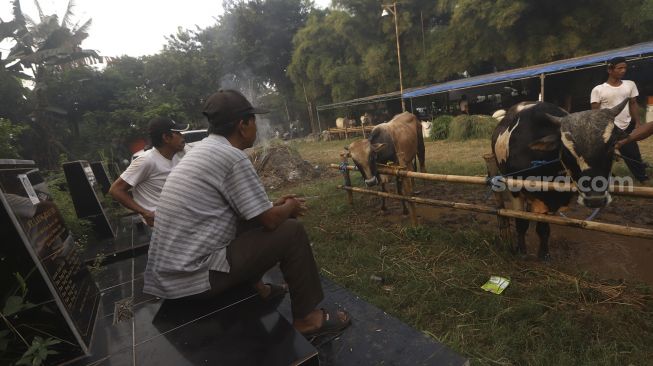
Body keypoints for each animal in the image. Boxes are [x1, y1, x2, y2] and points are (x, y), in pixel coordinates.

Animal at [488, 100, 628, 260]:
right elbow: (521, 222)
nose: (595, 200)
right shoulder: (515, 190)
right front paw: (521, 250)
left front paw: (544, 253)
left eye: (612, 145)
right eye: (567, 151)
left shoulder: (549, 198)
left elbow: (543, 228)